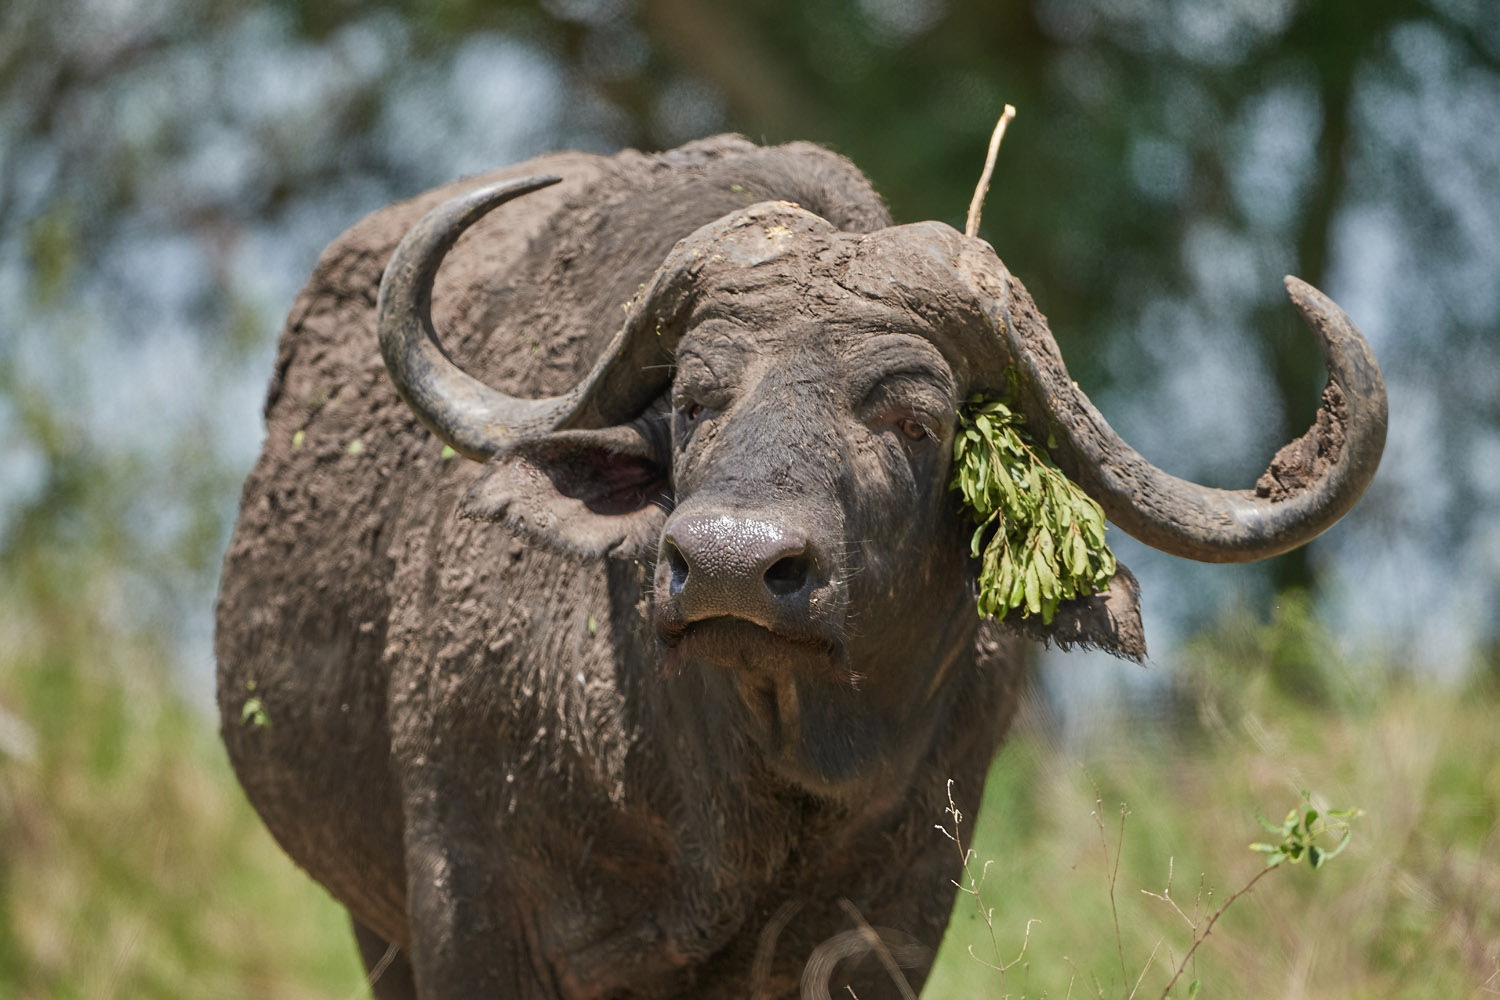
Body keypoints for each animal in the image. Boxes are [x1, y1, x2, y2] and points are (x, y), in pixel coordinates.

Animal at [217, 134, 1386, 1000]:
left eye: (915, 419)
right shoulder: (466, 903)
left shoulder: (895, 920)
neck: (735, 793)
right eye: (693, 400)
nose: (730, 565)